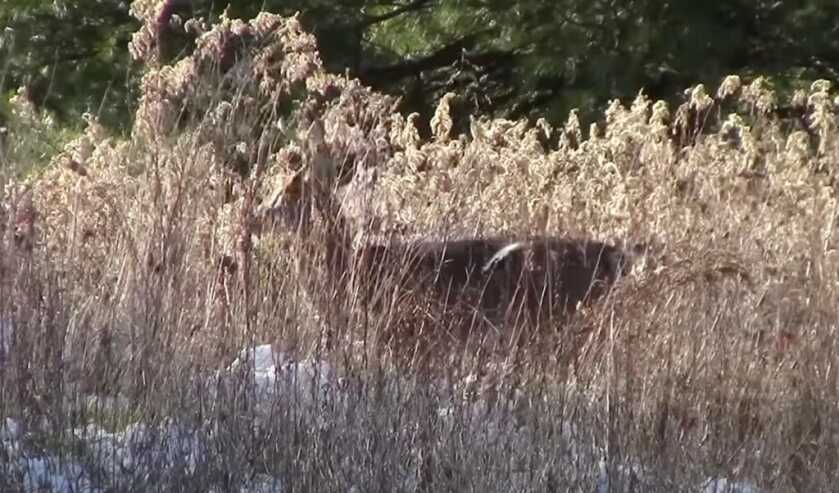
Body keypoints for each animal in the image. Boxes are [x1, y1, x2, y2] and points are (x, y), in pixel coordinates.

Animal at [257, 120, 634, 365]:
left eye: (289, 192)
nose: (258, 214)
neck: (348, 266)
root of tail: (615, 255)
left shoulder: (404, 335)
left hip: (538, 314)